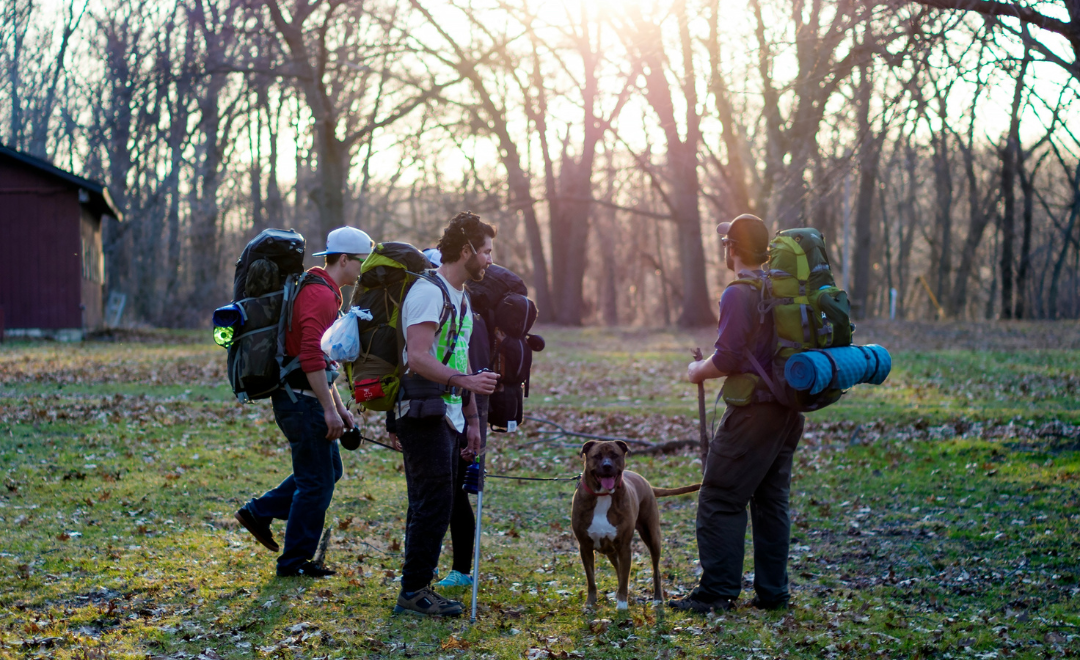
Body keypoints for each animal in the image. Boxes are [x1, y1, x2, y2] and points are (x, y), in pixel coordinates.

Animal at [574, 440, 699, 613]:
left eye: (614, 455)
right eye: (597, 456)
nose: (607, 466)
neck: (603, 495)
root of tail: (646, 482)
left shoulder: (624, 547)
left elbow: (624, 577)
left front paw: (622, 604)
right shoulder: (585, 547)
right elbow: (591, 579)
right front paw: (590, 603)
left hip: (652, 536)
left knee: (655, 570)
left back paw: (657, 599)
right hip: (612, 550)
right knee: (618, 569)